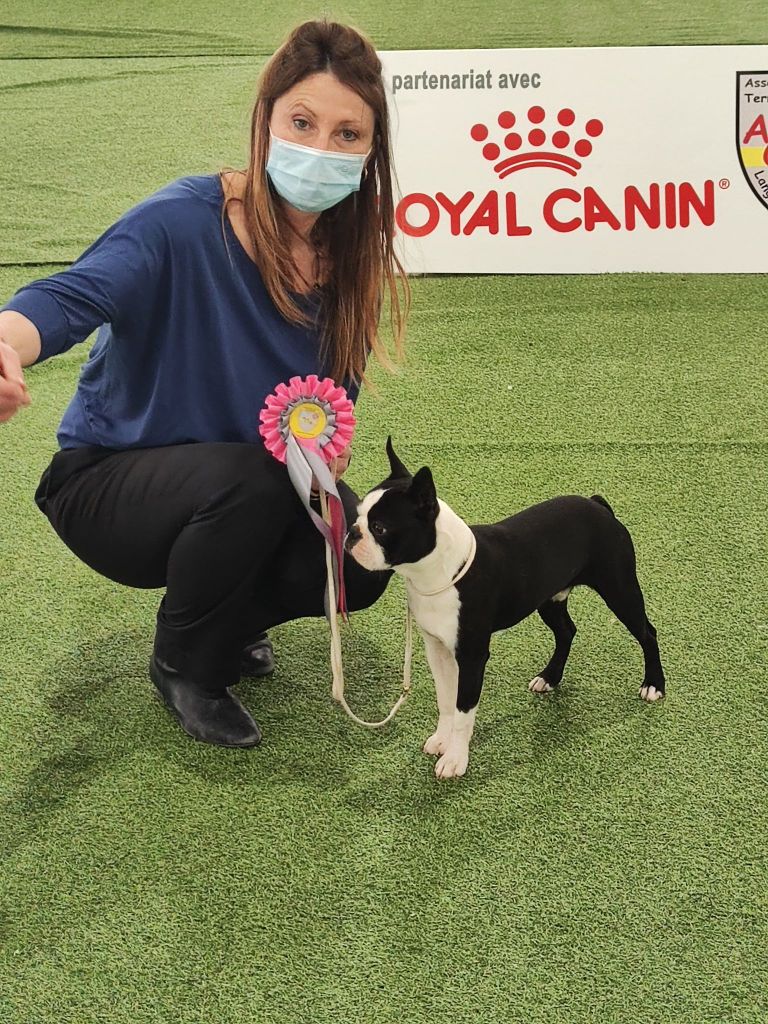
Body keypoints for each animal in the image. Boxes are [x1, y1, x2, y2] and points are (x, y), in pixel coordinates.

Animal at [345, 438, 665, 779]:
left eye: (379, 528)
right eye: (359, 516)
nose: (351, 532)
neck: (437, 574)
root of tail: (598, 506)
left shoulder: (472, 656)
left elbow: (463, 710)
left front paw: (455, 759)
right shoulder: (437, 649)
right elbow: (445, 700)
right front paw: (441, 740)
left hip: (619, 590)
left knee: (647, 633)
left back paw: (653, 685)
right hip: (549, 599)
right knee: (566, 630)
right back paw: (549, 677)